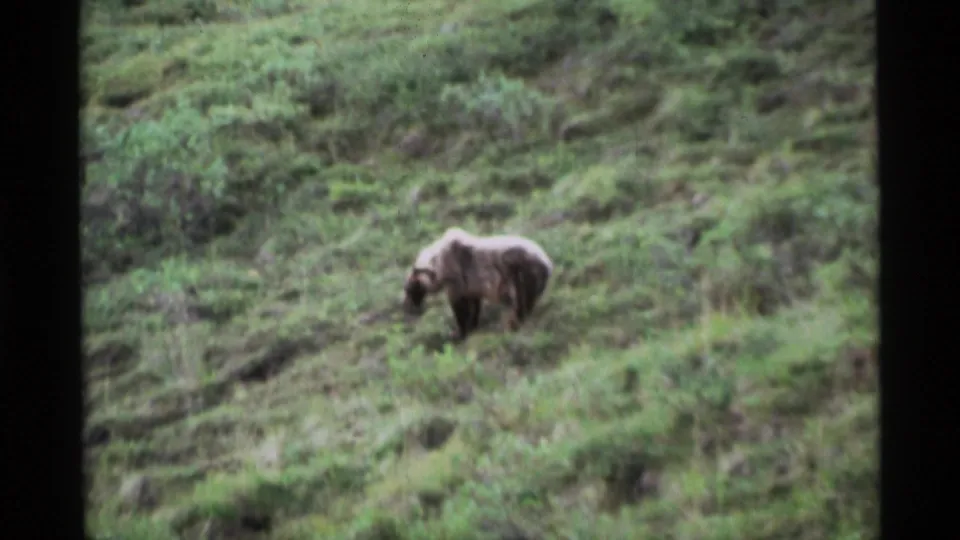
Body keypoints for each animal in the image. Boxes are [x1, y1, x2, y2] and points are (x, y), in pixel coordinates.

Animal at [403, 227, 554, 340]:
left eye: (410, 289)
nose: (407, 306)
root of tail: (547, 263)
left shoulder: (456, 277)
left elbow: (460, 307)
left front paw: (458, 332)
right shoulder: (471, 284)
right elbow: (474, 305)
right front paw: (472, 325)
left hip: (522, 271)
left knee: (521, 301)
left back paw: (513, 324)